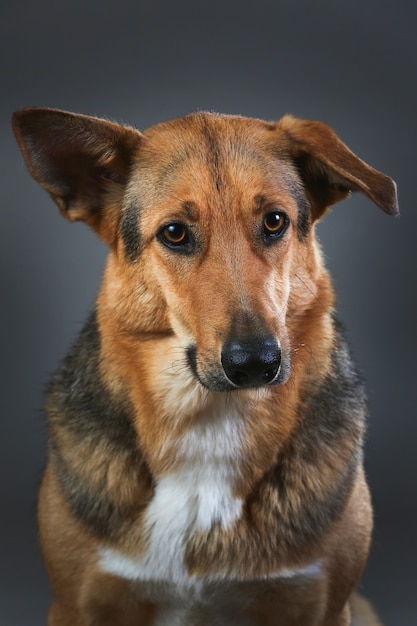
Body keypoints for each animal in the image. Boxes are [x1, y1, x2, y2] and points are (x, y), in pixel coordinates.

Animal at [13, 106, 396, 620]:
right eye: (175, 233)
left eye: (275, 221)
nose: (255, 362)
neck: (209, 421)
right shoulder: (75, 606)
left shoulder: (325, 608)